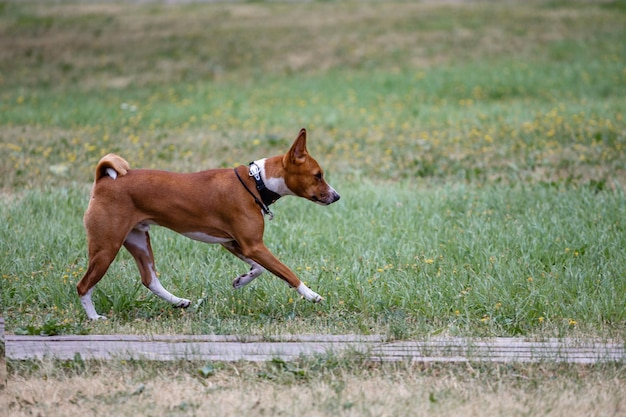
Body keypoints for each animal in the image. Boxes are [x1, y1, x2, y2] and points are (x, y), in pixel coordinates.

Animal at [78, 128, 342, 320]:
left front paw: (241, 280)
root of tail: (103, 180)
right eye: (318, 175)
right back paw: (94, 319)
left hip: (138, 240)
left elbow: (260, 269)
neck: (256, 182)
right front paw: (311, 295)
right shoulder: (253, 245)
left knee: (149, 279)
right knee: (83, 286)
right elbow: (288, 273)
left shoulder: (234, 242)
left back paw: (178, 302)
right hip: (107, 247)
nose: (336, 196)